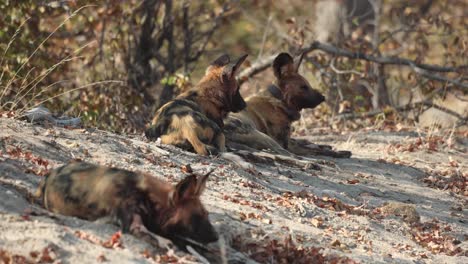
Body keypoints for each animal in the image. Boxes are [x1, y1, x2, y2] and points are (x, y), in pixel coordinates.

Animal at [224, 52, 352, 158]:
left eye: (308, 85)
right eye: (303, 87)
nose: (323, 97)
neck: (280, 101)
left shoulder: (289, 139)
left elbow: (306, 142)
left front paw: (324, 145)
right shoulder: (286, 144)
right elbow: (315, 150)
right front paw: (339, 152)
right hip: (266, 138)